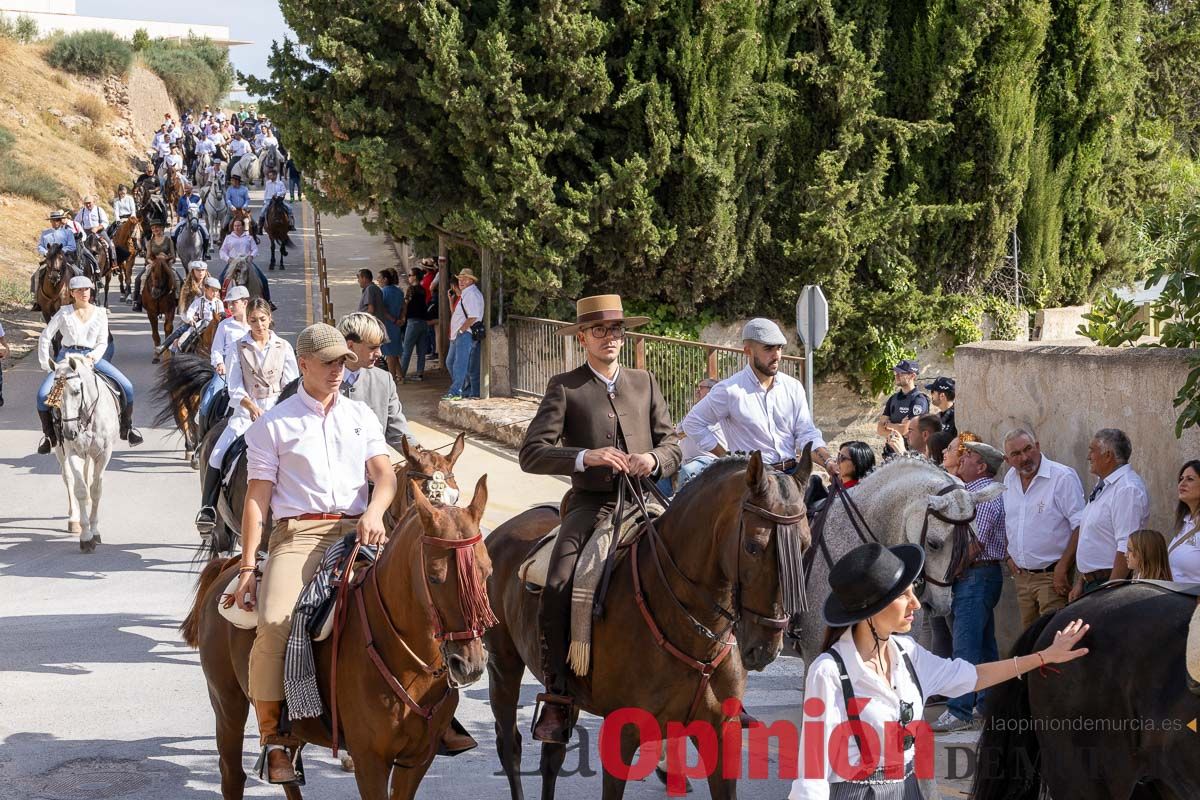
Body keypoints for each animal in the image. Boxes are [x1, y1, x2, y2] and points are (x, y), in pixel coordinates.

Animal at [42, 355, 119, 551]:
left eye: (76, 392)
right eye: (54, 395)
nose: (70, 432)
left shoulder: (104, 454)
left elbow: (96, 489)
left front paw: (95, 531)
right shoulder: (73, 452)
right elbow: (81, 490)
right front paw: (86, 537)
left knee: (88, 476)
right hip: (61, 450)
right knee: (68, 479)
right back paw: (73, 519)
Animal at [178, 474, 496, 800]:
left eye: (487, 571)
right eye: (434, 576)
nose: (469, 664)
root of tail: (231, 569)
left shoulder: (417, 760)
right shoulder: (370, 761)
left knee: (289, 773)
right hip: (226, 703)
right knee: (233, 774)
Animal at [482, 450, 811, 800]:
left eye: (805, 545)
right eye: (752, 546)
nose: (766, 646)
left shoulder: (720, 732)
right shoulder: (623, 732)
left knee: (552, 754)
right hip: (503, 664)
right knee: (510, 745)